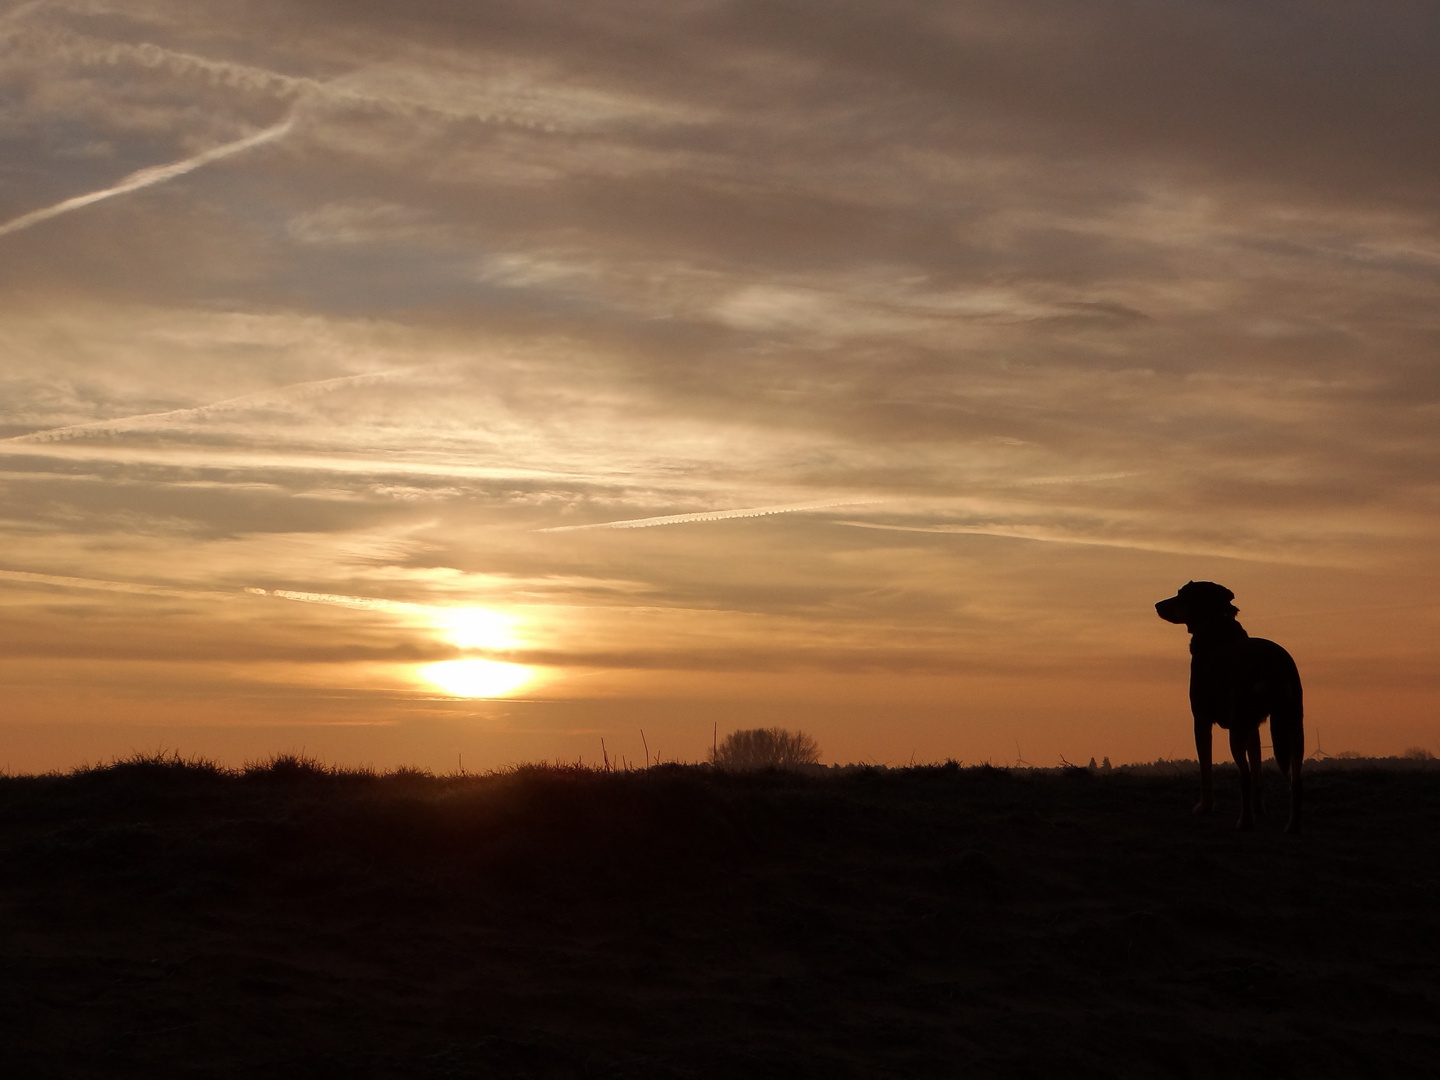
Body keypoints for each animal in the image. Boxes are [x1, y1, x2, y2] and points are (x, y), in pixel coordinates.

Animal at [1157, 587, 1307, 835]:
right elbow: (1257, 768)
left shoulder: (1201, 720)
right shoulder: (1253, 728)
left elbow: (1206, 770)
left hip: (1237, 729)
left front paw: (1204, 807)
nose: (1157, 605)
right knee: (1295, 779)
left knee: (1244, 776)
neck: (1216, 624)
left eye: (1182, 594)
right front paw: (1259, 808)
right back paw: (1292, 825)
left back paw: (1245, 821)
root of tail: (1271, 664)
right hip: (1292, 725)